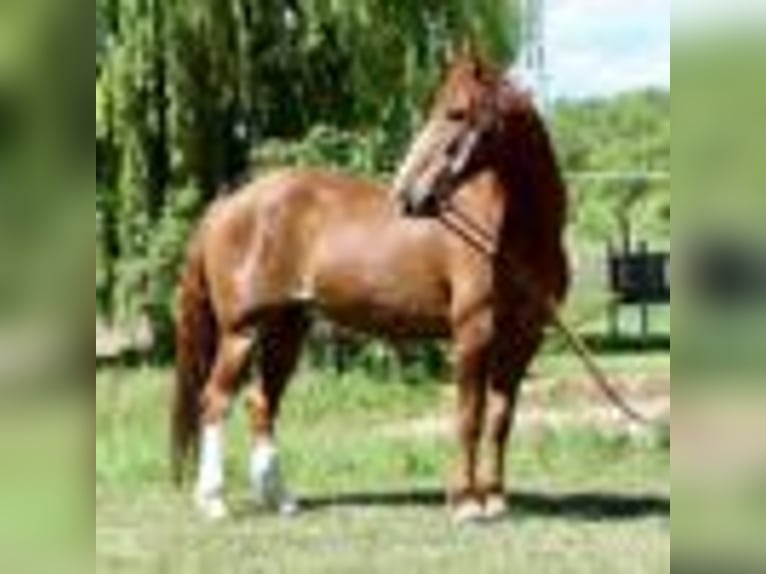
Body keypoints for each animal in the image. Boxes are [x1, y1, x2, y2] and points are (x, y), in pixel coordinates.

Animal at [171, 51, 569, 523]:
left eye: (456, 113)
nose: (408, 194)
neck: (504, 231)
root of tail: (227, 204)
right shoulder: (474, 331)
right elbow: (469, 416)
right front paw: (466, 502)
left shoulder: (525, 337)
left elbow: (500, 419)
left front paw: (494, 498)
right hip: (241, 331)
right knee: (215, 400)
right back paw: (214, 501)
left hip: (287, 327)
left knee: (261, 403)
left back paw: (281, 500)